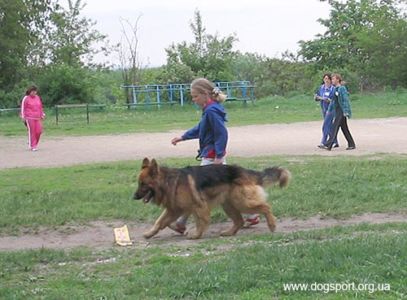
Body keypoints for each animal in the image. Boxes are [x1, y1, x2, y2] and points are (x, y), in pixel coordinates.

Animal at [134, 159, 290, 239]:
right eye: (139, 183)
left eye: (143, 184)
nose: (133, 197)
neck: (168, 181)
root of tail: (245, 171)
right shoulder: (174, 210)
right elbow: (159, 222)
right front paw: (150, 233)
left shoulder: (198, 206)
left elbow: (200, 222)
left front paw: (197, 235)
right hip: (229, 205)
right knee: (239, 221)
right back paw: (229, 232)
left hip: (241, 202)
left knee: (266, 207)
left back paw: (272, 225)